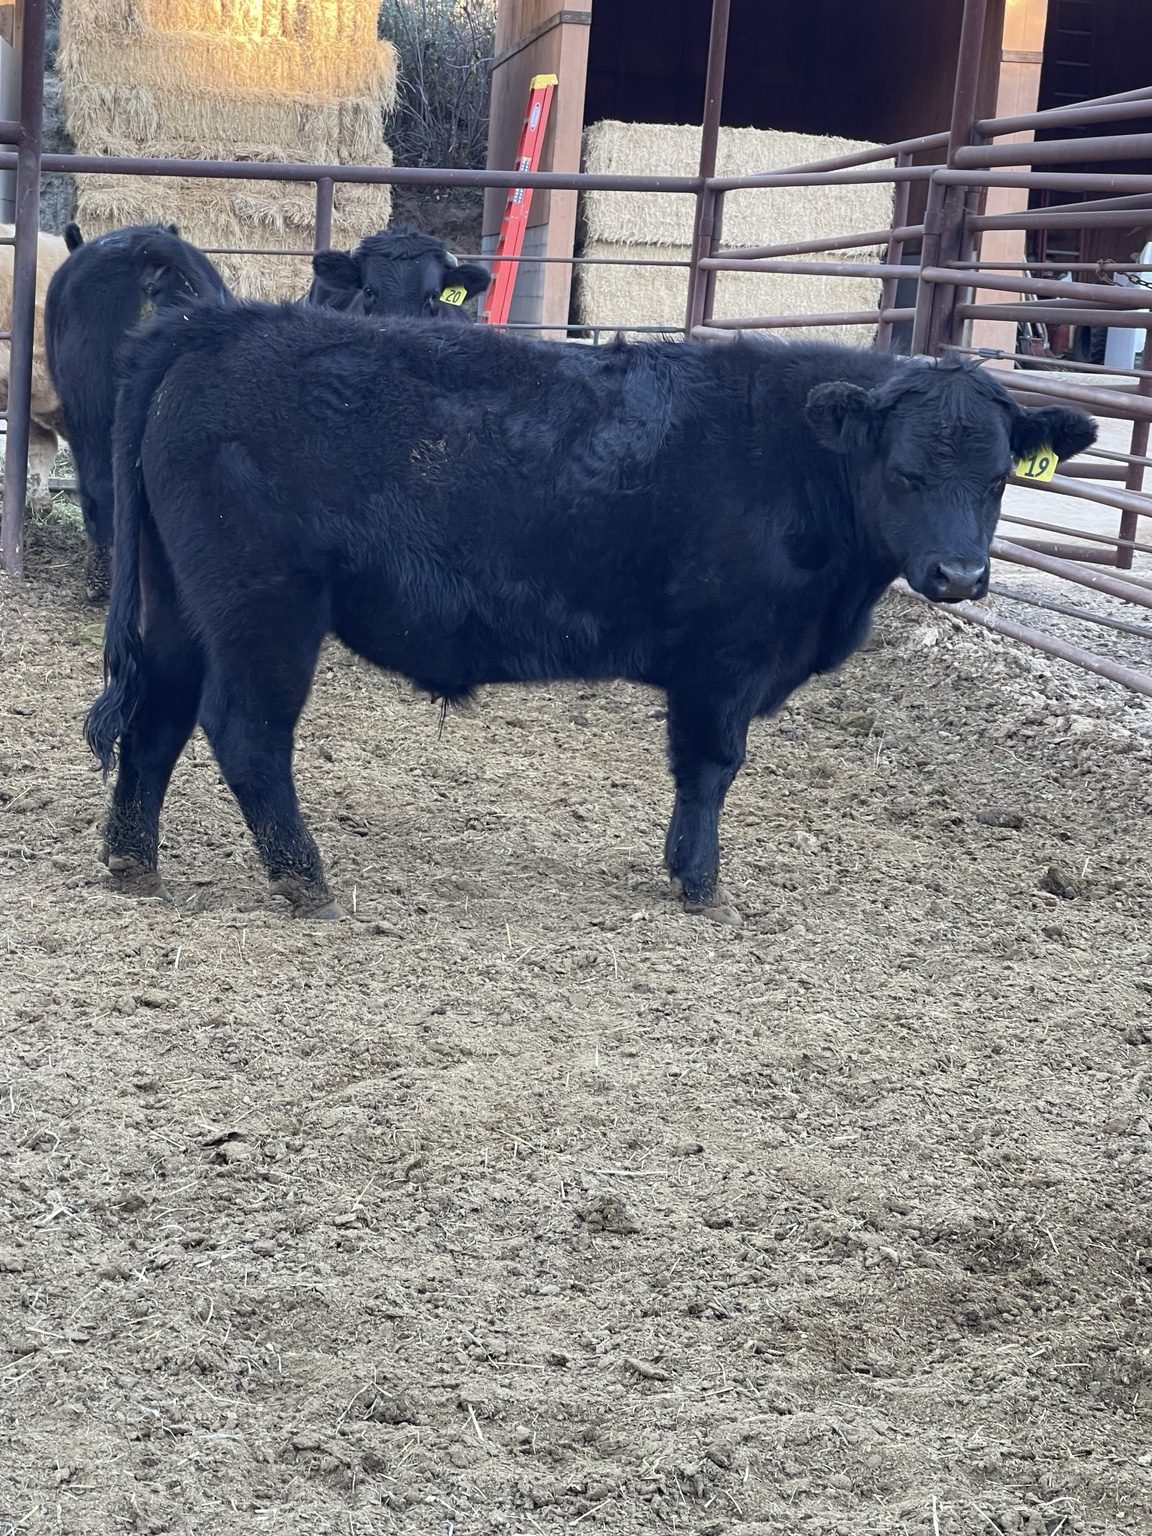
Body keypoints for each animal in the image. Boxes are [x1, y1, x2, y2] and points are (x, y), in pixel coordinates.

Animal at [85, 304, 1096, 922]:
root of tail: (214, 324)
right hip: (264, 607)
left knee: (158, 716)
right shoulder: (724, 656)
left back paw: (134, 863)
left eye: (1000, 479)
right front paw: (699, 881)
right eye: (907, 472)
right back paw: (306, 882)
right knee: (244, 730)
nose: (960, 575)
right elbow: (710, 767)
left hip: (178, 602)